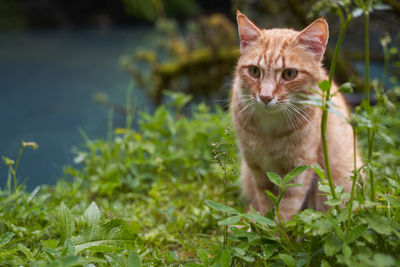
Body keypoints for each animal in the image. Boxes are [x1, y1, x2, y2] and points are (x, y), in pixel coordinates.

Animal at [231, 11, 362, 222]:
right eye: (254, 71)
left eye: (289, 74)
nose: (265, 97)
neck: (269, 132)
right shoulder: (256, 168)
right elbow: (265, 202)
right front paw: (265, 225)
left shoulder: (300, 169)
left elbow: (287, 208)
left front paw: (279, 230)